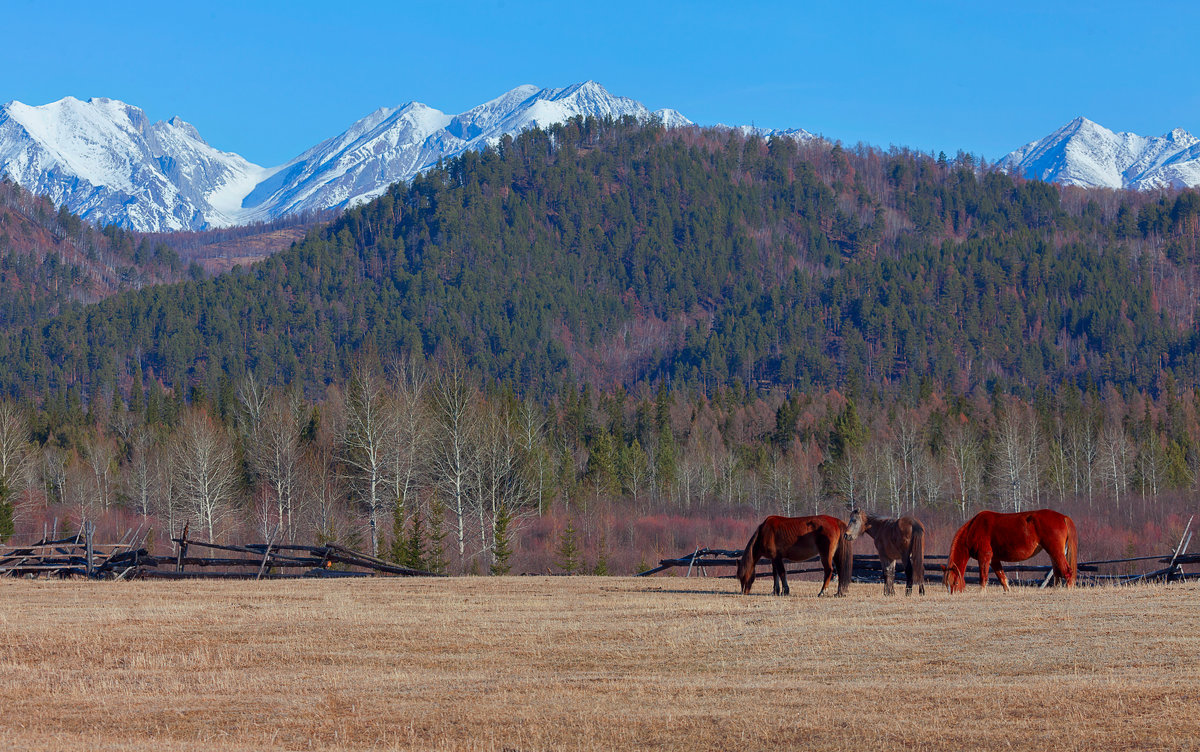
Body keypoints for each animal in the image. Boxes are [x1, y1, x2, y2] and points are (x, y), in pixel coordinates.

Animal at [945, 510, 1080, 594]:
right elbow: (1002, 577)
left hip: (1056, 551)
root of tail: (1063, 517)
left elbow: (983, 576)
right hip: (1053, 553)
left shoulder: (984, 557)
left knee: (1067, 571)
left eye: (955, 582)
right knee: (1057, 573)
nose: (953, 594)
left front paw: (982, 592)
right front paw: (1007, 591)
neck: (973, 529)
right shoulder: (994, 559)